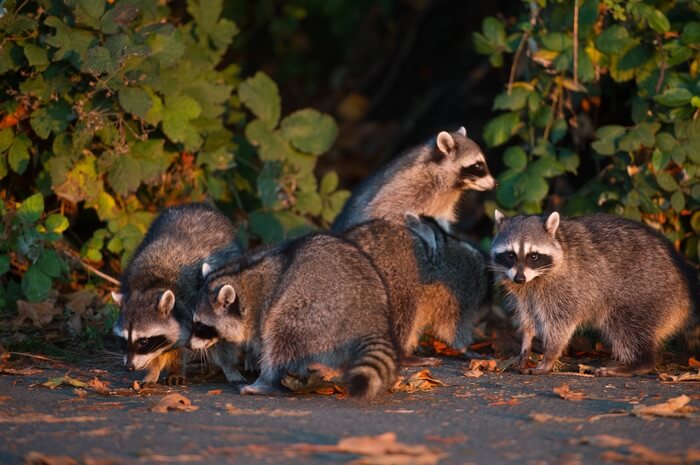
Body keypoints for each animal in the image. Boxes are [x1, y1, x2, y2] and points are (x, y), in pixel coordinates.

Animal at [109, 203, 241, 384]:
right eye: (123, 340)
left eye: (143, 341)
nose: (129, 367)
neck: (150, 285)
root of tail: (195, 206)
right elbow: (168, 347)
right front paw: (154, 370)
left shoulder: (196, 302)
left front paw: (229, 367)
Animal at [190, 232, 400, 398]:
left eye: (200, 325)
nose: (189, 345)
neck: (242, 277)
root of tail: (368, 316)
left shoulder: (261, 311)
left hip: (315, 309)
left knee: (281, 335)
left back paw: (266, 383)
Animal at [490, 208, 696, 376]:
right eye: (510, 255)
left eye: (533, 256)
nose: (519, 279)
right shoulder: (525, 293)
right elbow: (528, 317)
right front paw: (526, 344)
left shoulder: (567, 287)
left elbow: (560, 323)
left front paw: (550, 355)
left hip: (649, 289)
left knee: (627, 324)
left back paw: (639, 363)